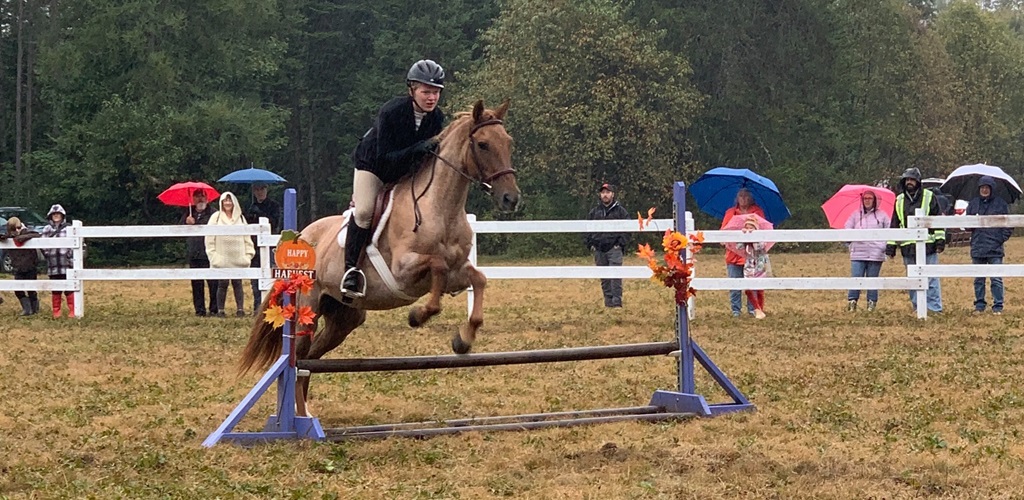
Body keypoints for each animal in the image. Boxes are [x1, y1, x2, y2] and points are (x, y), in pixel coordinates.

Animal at [238, 99, 520, 412]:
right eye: (483, 144)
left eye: (508, 142)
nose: (511, 198)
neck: (440, 209)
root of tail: (301, 236)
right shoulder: (403, 271)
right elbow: (437, 266)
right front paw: (418, 315)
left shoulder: (457, 272)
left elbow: (478, 279)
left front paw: (463, 340)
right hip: (306, 310)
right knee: (298, 358)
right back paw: (301, 415)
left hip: (344, 318)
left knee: (310, 360)